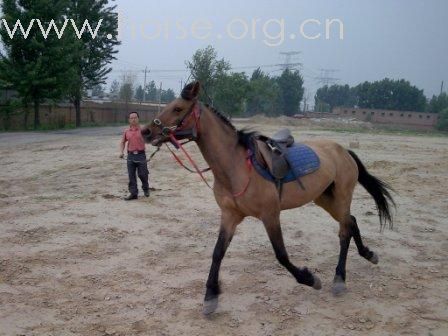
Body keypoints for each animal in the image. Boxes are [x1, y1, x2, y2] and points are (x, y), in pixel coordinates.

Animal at [141, 81, 396, 316]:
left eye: (178, 108)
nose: (146, 132)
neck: (236, 168)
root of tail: (343, 150)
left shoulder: (270, 215)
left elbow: (281, 255)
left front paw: (310, 279)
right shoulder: (230, 216)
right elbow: (217, 253)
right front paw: (211, 296)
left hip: (342, 196)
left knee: (344, 231)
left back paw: (339, 279)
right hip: (325, 199)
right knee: (351, 222)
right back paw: (368, 255)